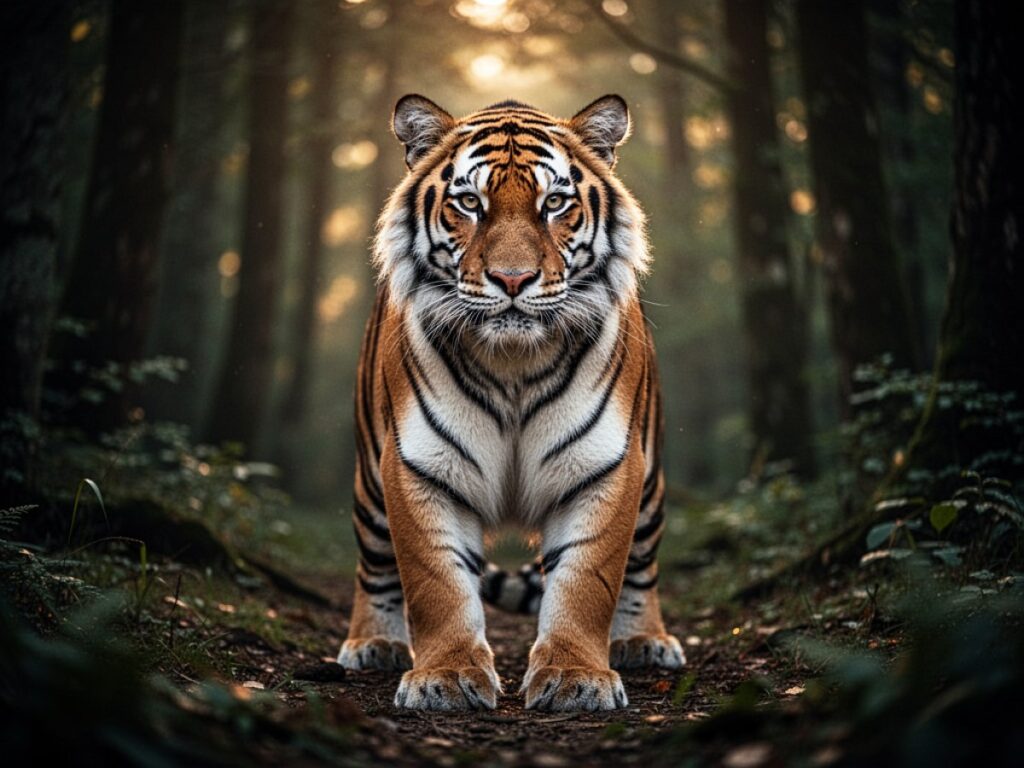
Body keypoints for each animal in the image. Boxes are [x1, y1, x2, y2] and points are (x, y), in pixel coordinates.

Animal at [336, 94, 685, 712]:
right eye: (470, 203)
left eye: (555, 204)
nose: (513, 278)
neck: (515, 365)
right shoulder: (420, 468)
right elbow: (436, 583)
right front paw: (446, 677)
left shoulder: (606, 467)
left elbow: (587, 579)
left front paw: (575, 677)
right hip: (369, 483)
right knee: (375, 564)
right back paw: (374, 644)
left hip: (652, 484)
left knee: (642, 565)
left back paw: (644, 641)